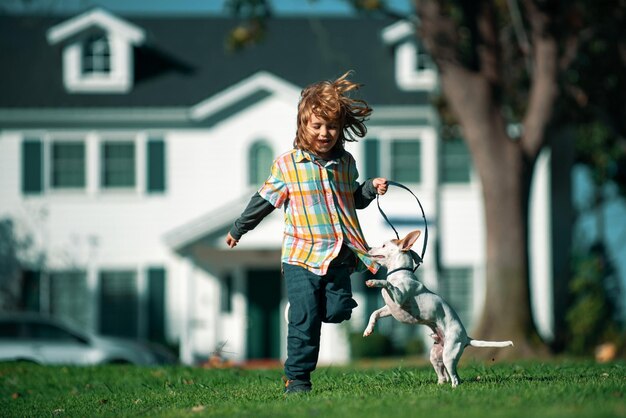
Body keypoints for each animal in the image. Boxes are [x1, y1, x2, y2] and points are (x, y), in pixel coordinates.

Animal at [364, 230, 510, 386]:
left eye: (383, 245)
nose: (368, 247)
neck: (399, 274)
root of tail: (466, 338)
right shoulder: (390, 309)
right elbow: (375, 313)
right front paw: (368, 329)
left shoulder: (398, 299)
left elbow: (387, 284)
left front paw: (374, 281)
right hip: (435, 356)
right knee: (446, 375)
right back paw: (440, 385)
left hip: (449, 355)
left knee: (454, 377)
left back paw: (453, 388)